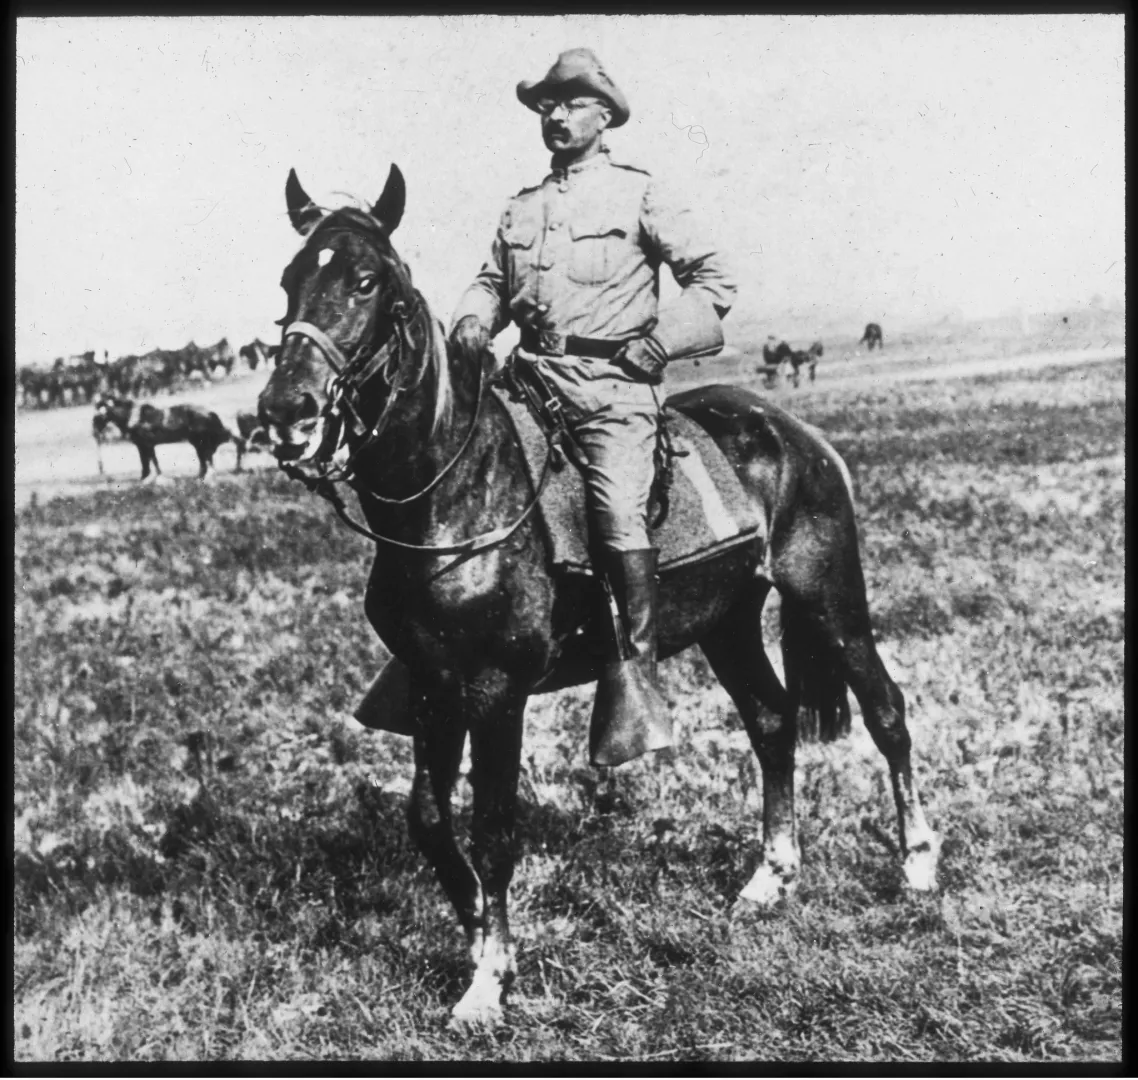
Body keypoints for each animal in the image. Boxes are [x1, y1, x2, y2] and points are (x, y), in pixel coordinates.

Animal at [257, 165, 939, 1026]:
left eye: (367, 281)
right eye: (289, 279)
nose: (284, 413)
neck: (456, 494)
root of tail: (795, 432)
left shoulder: (496, 690)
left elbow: (493, 830)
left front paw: (489, 982)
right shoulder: (432, 687)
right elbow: (430, 819)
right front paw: (478, 936)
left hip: (830, 599)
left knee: (886, 711)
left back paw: (917, 866)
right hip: (728, 623)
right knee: (772, 722)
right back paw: (770, 877)